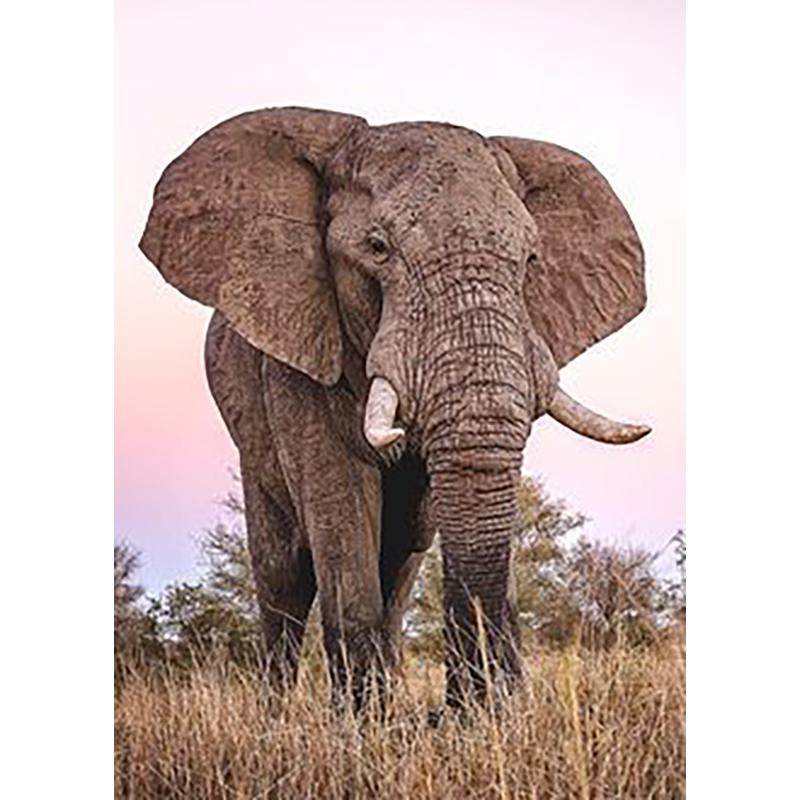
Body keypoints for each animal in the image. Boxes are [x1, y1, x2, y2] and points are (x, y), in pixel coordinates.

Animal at [139, 106, 650, 709]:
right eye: (378, 248)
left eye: (530, 259)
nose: (456, 712)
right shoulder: (297, 348)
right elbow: (339, 503)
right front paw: (361, 724)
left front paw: (488, 715)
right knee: (284, 572)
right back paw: (279, 714)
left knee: (403, 552)